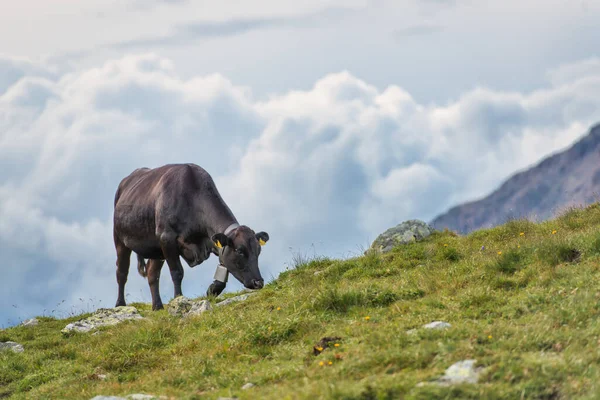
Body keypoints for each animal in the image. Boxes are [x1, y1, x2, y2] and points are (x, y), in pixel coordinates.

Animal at [112, 162, 270, 310]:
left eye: (259, 251)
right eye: (239, 251)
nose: (258, 282)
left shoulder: (210, 241)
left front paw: (212, 290)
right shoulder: (167, 238)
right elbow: (177, 272)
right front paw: (179, 299)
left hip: (156, 248)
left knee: (152, 273)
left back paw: (157, 306)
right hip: (120, 239)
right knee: (121, 271)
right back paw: (120, 304)